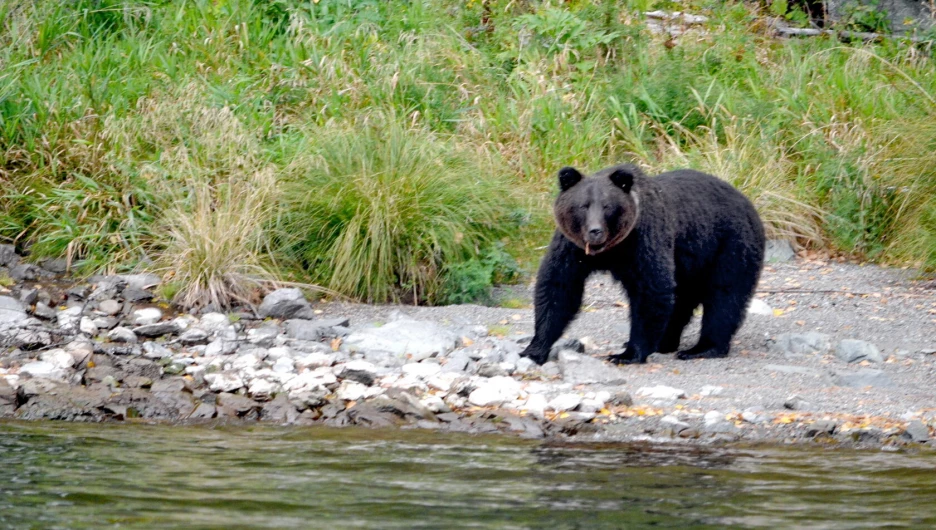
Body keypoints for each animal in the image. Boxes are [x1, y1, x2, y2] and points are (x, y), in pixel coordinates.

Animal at [520, 164, 766, 365]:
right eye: (583, 205)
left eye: (607, 206)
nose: (595, 231)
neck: (609, 250)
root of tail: (746, 201)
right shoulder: (572, 247)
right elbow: (558, 288)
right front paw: (534, 349)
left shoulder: (643, 240)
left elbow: (651, 289)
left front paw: (627, 354)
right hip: (691, 262)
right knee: (682, 299)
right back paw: (666, 342)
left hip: (728, 245)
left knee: (724, 295)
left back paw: (702, 348)